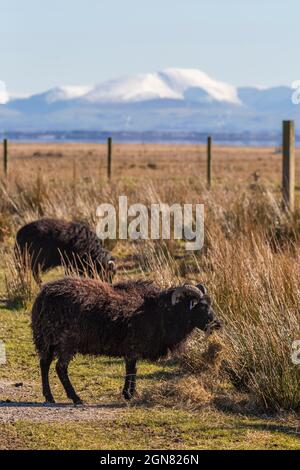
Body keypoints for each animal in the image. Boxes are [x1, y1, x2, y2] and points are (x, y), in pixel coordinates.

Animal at [31, 278, 221, 406]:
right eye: (200, 306)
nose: (218, 324)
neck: (162, 312)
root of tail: (43, 297)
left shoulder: (132, 350)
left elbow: (132, 370)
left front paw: (130, 393)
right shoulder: (133, 346)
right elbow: (131, 370)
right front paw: (129, 394)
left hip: (48, 340)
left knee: (44, 364)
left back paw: (49, 396)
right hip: (66, 342)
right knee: (60, 368)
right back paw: (76, 398)